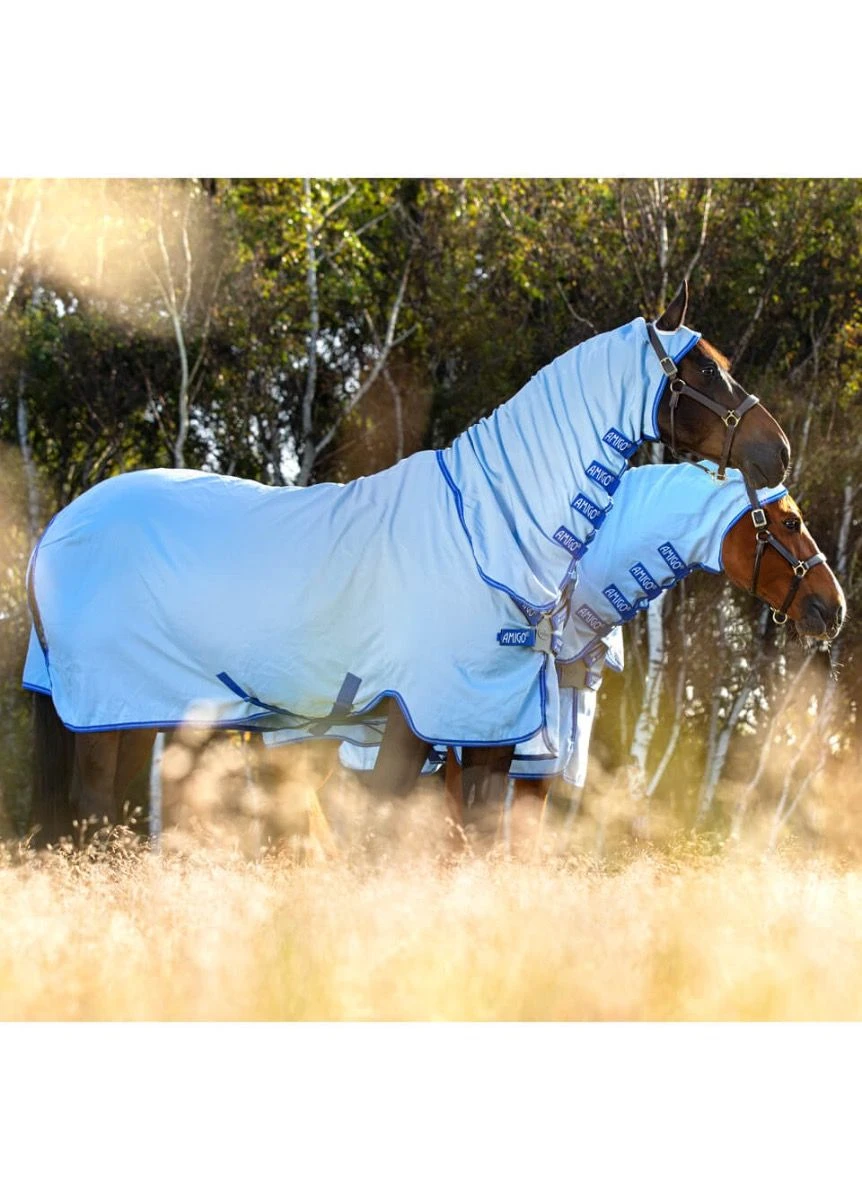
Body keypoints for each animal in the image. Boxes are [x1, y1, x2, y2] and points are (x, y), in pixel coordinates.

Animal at [24, 282, 792, 844]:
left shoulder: (487, 731)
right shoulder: (416, 720)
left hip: (120, 718)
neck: (487, 535)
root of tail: (55, 531)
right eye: (704, 368)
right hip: (109, 711)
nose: (777, 451)